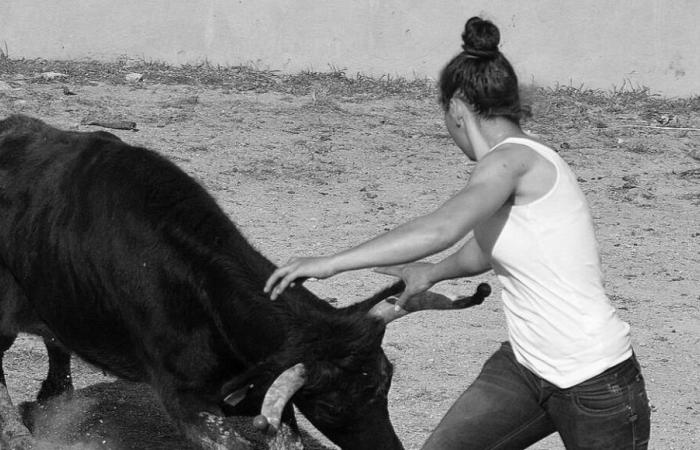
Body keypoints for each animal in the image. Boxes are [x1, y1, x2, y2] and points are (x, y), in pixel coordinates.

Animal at [0, 117, 490, 450]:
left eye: (387, 380)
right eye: (331, 406)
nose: (389, 449)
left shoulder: (271, 393)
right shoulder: (187, 402)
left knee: (55, 342)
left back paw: (54, 399)